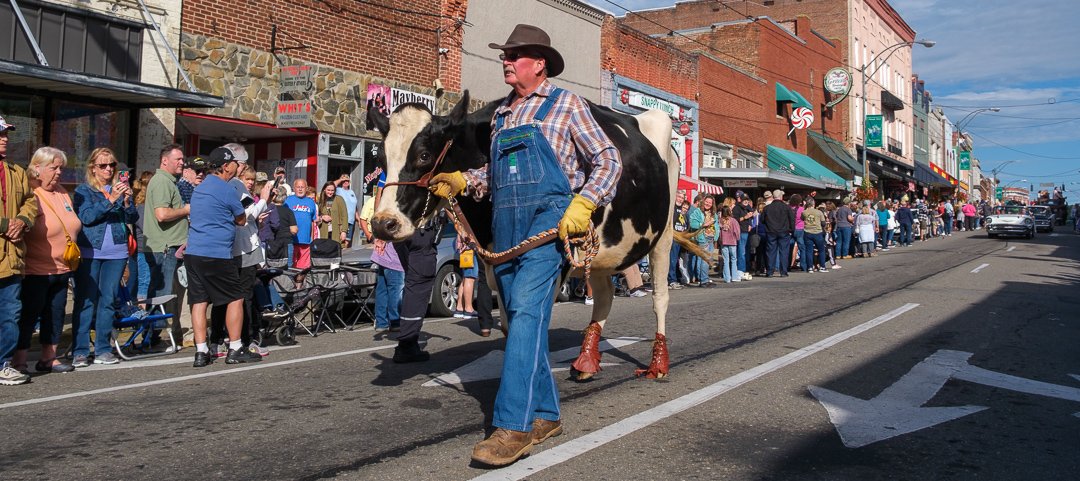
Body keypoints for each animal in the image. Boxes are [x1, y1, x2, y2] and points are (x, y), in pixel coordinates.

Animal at [371, 90, 708, 378]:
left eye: (424, 155)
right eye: (382, 159)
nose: (382, 224)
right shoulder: (497, 263)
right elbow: (511, 323)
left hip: (662, 236)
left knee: (659, 297)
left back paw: (658, 363)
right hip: (600, 249)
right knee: (604, 297)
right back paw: (586, 360)